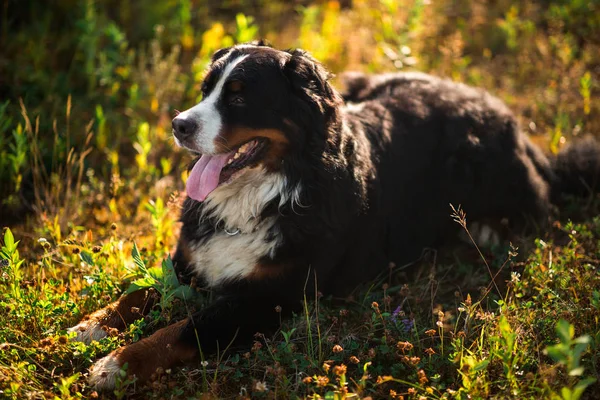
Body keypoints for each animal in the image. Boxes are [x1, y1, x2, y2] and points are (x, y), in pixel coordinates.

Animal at [71, 40, 600, 388]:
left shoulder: (269, 298)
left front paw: (115, 364)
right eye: (206, 90)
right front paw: (92, 324)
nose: (179, 124)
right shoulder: (194, 256)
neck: (272, 191)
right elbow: (139, 294)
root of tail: (521, 133)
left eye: (238, 94)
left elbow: (182, 329)